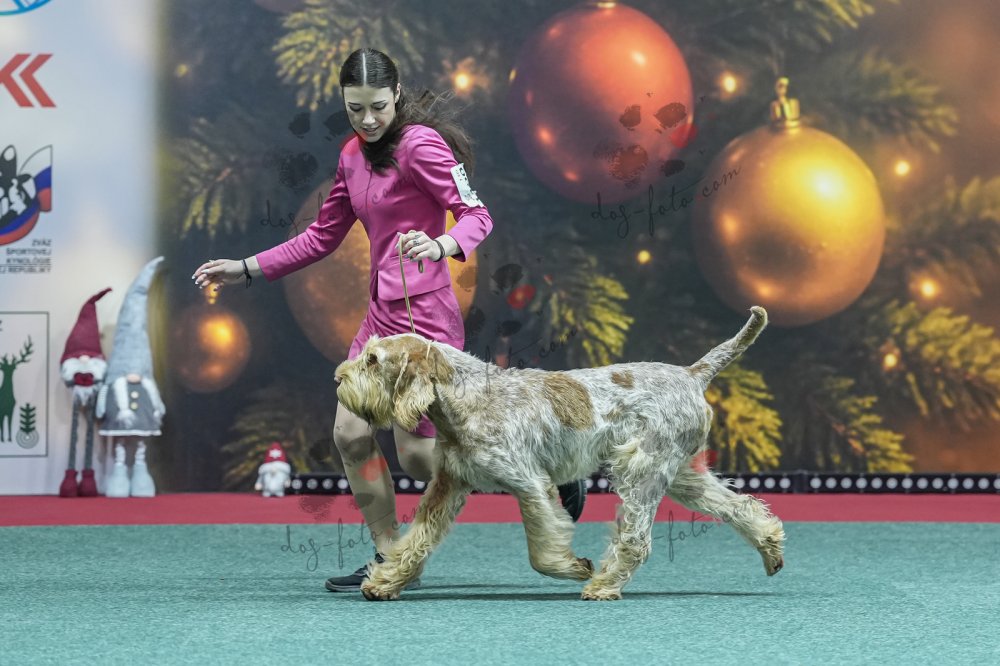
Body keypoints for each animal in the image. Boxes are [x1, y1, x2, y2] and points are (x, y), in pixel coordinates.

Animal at [334, 306, 784, 601]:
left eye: (372, 359)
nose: (338, 377)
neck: (465, 397)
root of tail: (692, 374)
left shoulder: (529, 484)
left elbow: (542, 550)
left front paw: (572, 567)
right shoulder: (447, 485)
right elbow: (415, 540)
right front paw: (386, 580)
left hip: (641, 470)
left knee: (637, 539)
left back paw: (603, 585)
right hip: (683, 477)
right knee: (741, 506)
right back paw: (770, 549)